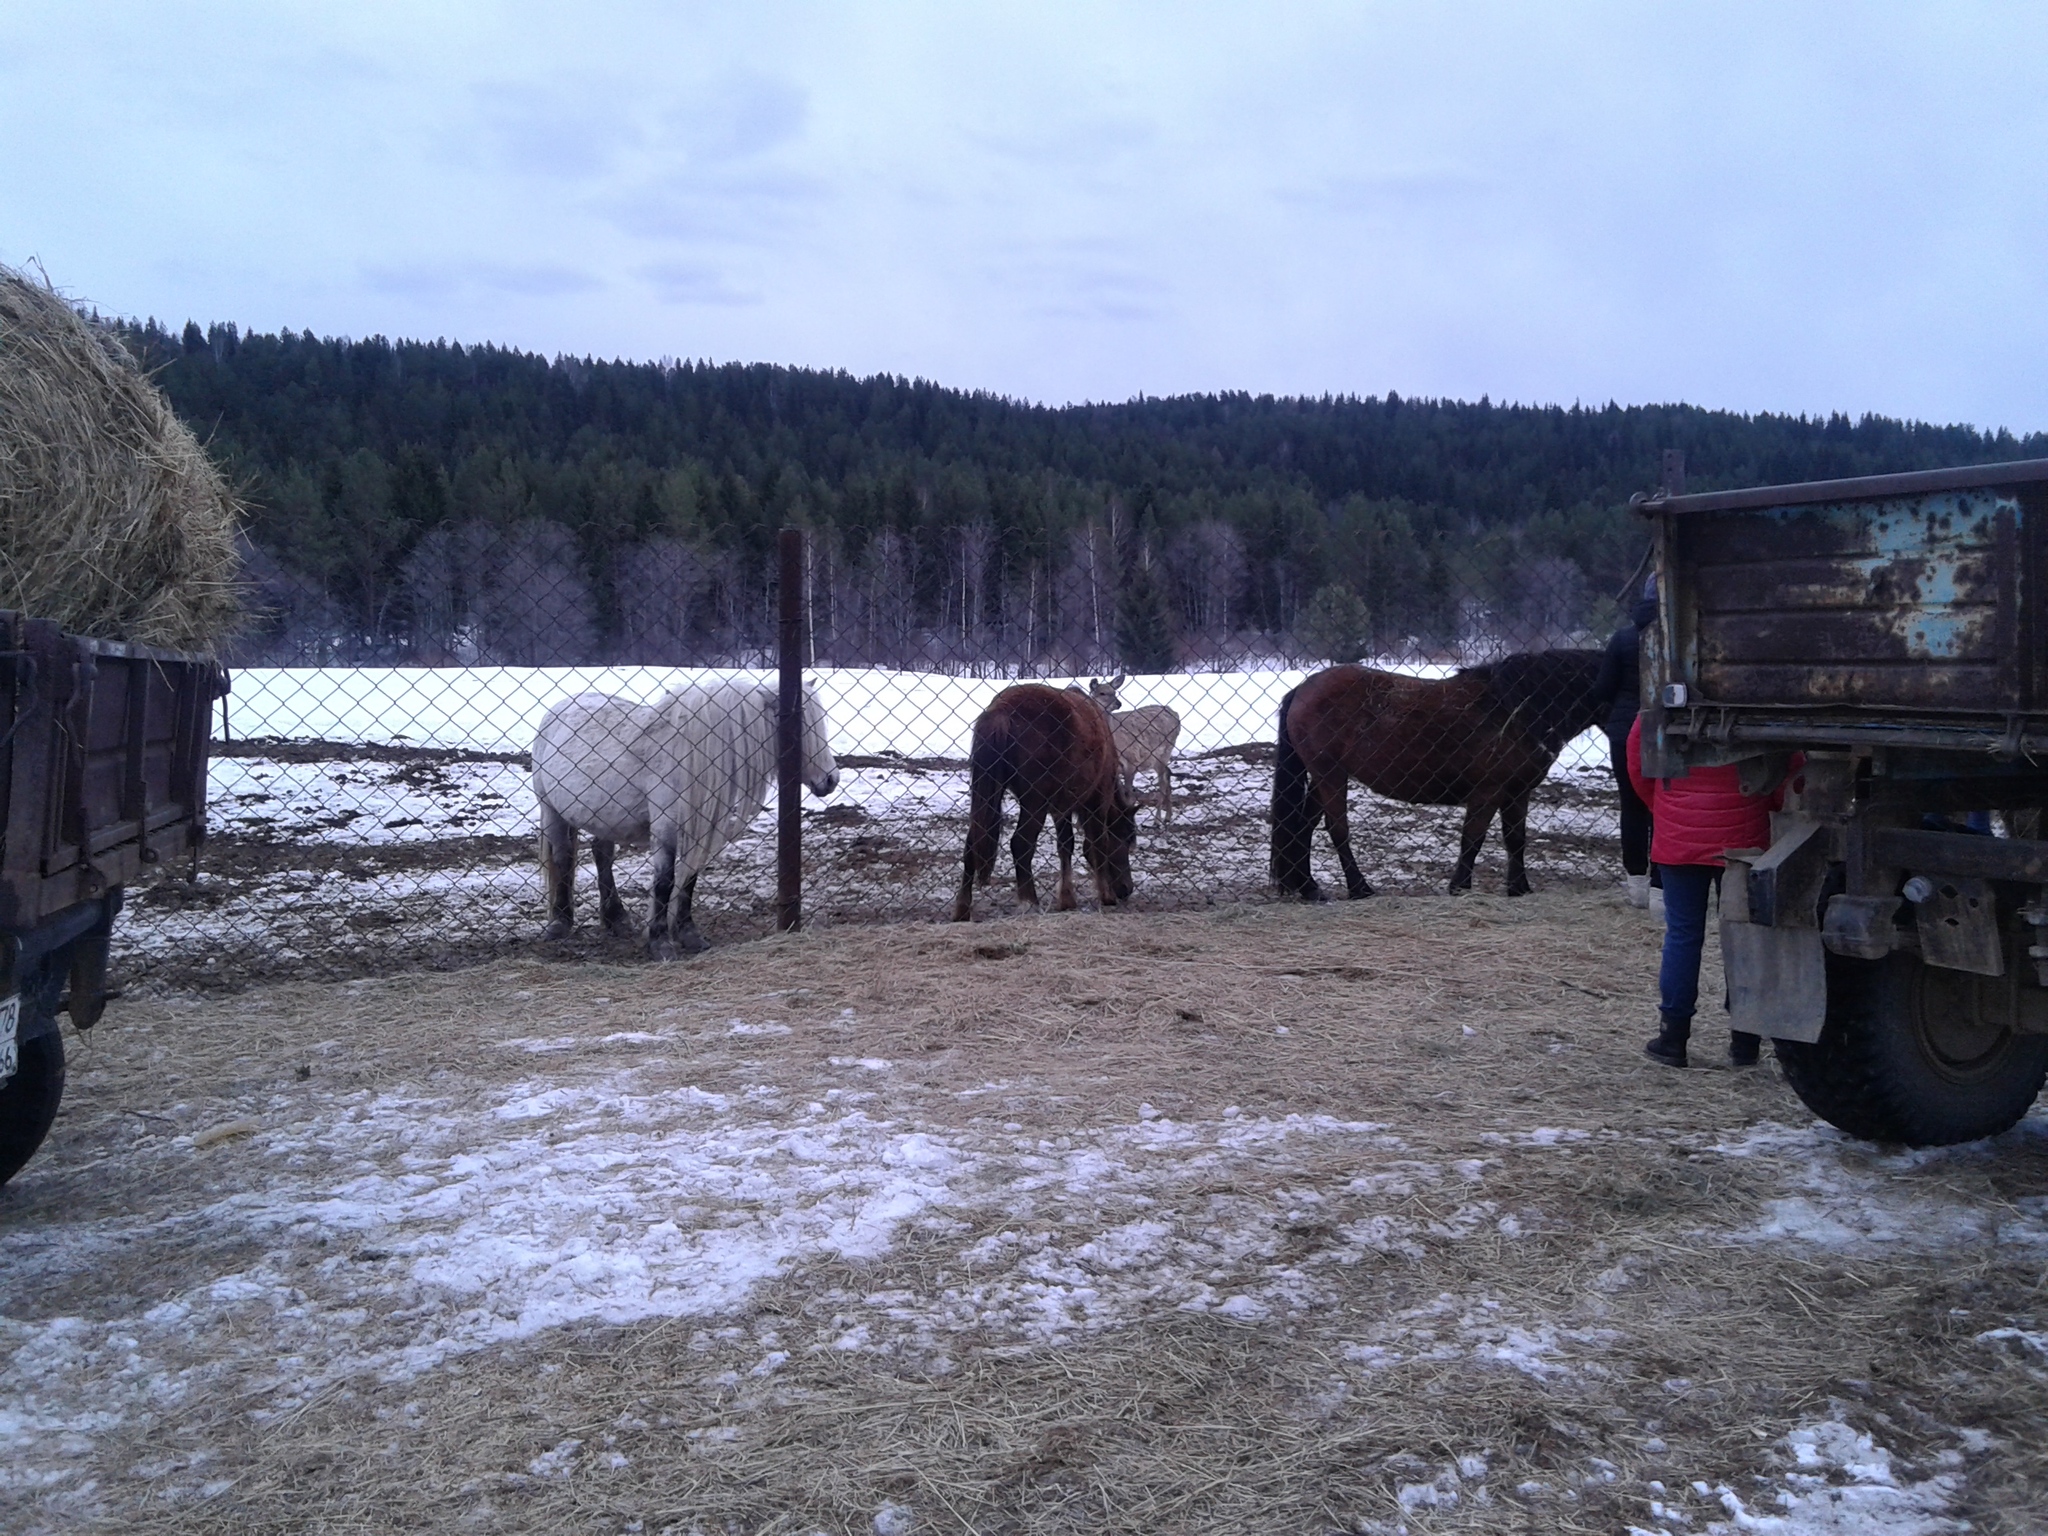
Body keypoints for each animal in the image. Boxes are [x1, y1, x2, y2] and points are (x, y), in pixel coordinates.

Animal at [540, 684, 843, 958]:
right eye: (798, 725)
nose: (831, 779)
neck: (689, 756)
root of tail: (559, 707)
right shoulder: (665, 830)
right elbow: (665, 882)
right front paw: (660, 942)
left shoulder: (698, 832)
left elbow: (689, 880)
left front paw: (689, 935)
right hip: (550, 810)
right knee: (563, 857)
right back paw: (560, 922)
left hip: (604, 818)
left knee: (602, 855)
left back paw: (616, 918)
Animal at [954, 688, 1146, 925]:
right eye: (1127, 840)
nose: (1126, 889)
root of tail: (1002, 710)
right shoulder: (1098, 800)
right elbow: (1098, 842)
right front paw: (1106, 895)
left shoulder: (1061, 808)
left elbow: (1066, 845)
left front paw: (1066, 898)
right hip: (1034, 803)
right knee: (1021, 843)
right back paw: (1029, 902)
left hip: (989, 797)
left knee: (972, 844)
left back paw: (962, 909)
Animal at [1269, 651, 1605, 901]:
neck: (1516, 709)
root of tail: (1302, 689)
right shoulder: (1488, 791)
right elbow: (1473, 839)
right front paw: (1460, 887)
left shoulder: (1518, 792)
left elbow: (1515, 840)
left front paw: (1519, 889)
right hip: (1330, 775)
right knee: (1337, 829)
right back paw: (1359, 888)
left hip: (1323, 777)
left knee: (1303, 826)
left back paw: (1310, 888)